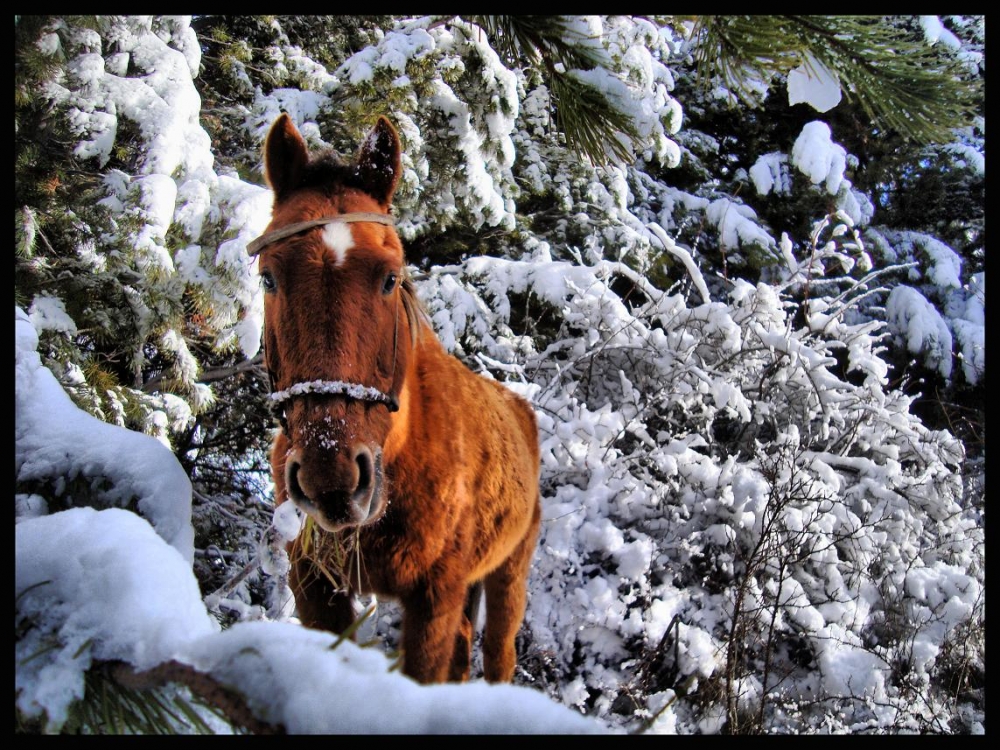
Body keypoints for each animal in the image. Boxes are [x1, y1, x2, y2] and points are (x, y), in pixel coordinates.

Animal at [254, 113, 544, 688]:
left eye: (389, 277)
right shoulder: (315, 590)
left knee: (499, 653)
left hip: (510, 573)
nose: (332, 476)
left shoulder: (433, 602)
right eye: (269, 277)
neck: (403, 451)